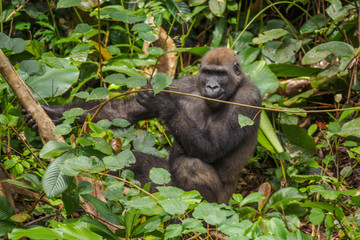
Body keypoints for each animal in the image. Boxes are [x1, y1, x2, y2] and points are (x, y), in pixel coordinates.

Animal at [24, 47, 262, 203]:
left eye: (221, 74)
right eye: (208, 73)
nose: (212, 86)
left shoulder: (248, 99)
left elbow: (212, 148)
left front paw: (163, 104)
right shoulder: (181, 85)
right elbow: (122, 112)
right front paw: (53, 113)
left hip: (221, 203)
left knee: (192, 166)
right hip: (163, 186)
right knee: (132, 163)